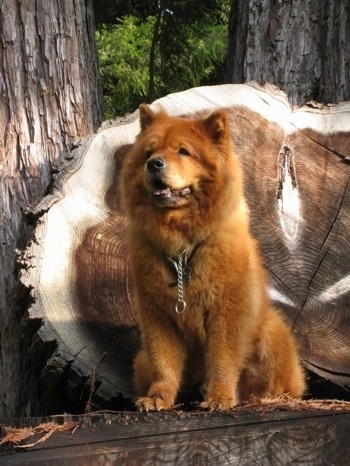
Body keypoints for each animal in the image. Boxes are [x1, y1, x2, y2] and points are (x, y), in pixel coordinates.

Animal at [119, 105, 304, 412]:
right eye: (149, 153)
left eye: (183, 151)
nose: (154, 164)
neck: (183, 248)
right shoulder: (158, 316)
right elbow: (164, 363)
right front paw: (158, 398)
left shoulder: (225, 314)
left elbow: (222, 360)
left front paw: (219, 397)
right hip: (140, 359)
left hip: (272, 333)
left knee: (279, 386)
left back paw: (265, 398)